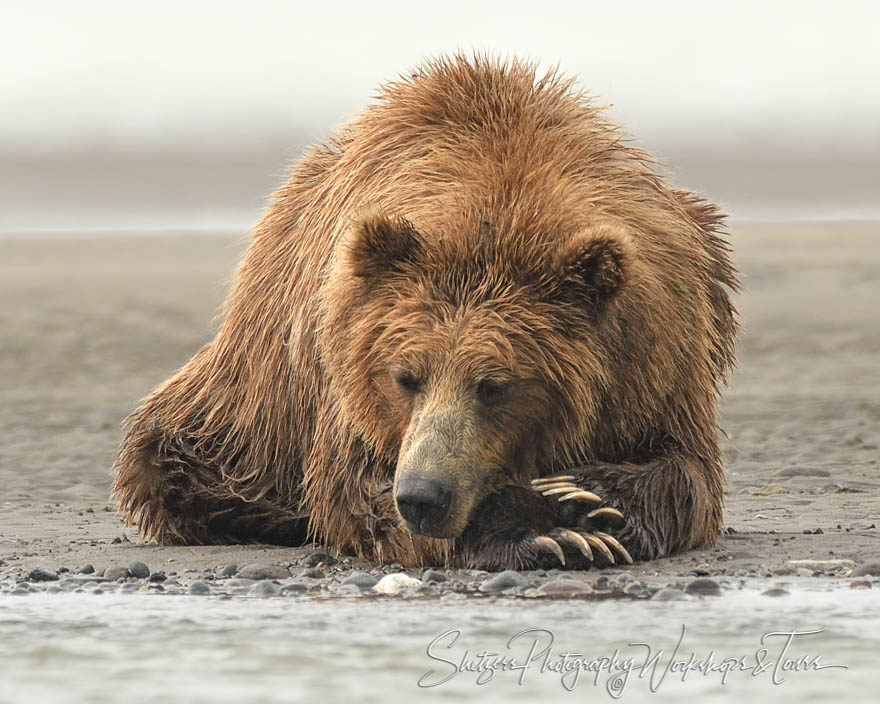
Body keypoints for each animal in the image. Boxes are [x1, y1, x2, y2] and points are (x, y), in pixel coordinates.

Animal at [113, 55, 740, 572]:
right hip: (253, 400)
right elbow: (358, 494)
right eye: (405, 377)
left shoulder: (658, 358)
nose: (423, 495)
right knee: (175, 456)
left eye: (494, 385)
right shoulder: (348, 371)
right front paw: (545, 534)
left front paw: (585, 497)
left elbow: (689, 473)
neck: (499, 210)